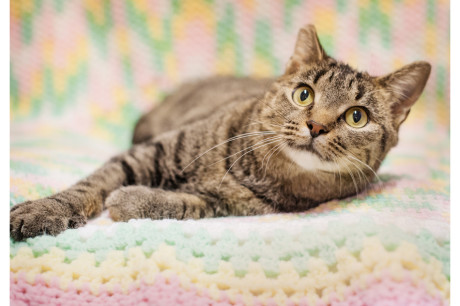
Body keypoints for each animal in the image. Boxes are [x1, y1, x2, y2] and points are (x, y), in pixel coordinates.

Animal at [9, 24, 430, 241]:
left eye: (357, 117)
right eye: (303, 94)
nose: (316, 125)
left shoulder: (228, 205)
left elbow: (179, 205)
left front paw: (132, 199)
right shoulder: (152, 151)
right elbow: (91, 183)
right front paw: (44, 209)